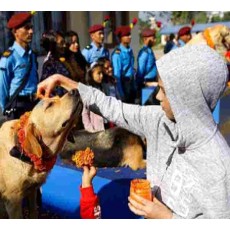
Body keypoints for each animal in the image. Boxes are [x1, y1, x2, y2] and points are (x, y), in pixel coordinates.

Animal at [0, 89, 82, 218]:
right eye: (50, 105)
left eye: (58, 97)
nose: (75, 90)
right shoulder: (13, 201)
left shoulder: (32, 191)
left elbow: (34, 211)